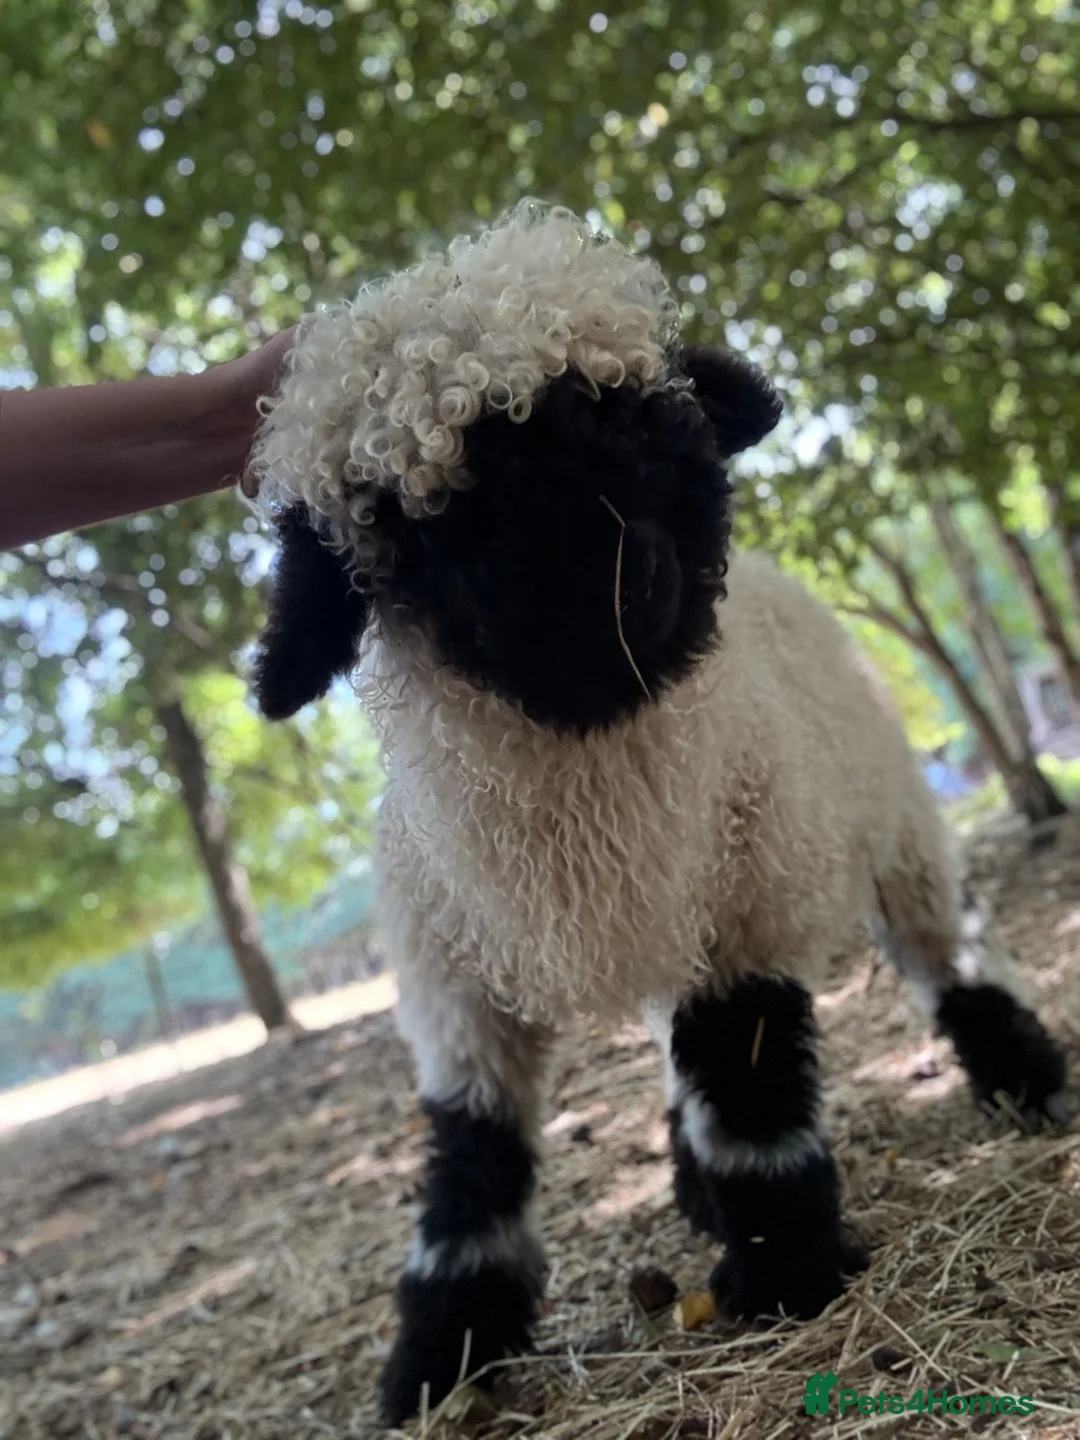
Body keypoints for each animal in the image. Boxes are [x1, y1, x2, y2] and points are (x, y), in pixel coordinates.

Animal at [246, 201, 1069, 1425]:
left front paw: (783, 1271)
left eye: (647, 418)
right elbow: (472, 1172)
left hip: (896, 826)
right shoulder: (457, 990)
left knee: (949, 952)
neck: (589, 777)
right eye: (430, 523)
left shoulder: (746, 910)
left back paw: (1026, 1079)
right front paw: (438, 1355)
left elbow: (754, 1093)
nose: (631, 582)